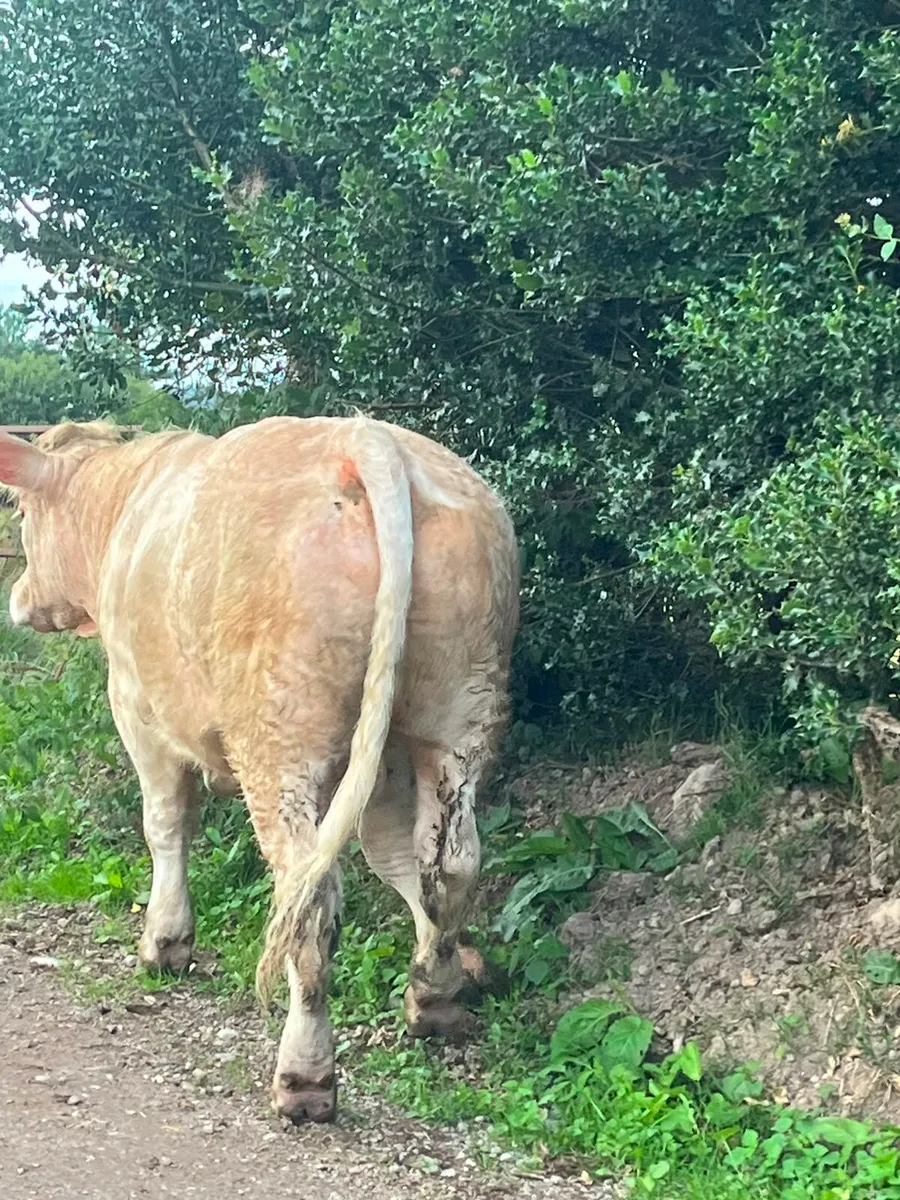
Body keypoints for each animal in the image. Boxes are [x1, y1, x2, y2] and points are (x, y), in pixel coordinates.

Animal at [0, 416, 519, 1124]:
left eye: (20, 510)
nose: (18, 599)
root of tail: (367, 439)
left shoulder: (137, 709)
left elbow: (165, 825)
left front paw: (165, 943)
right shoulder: (386, 764)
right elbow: (397, 859)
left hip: (278, 734)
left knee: (309, 897)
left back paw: (305, 1076)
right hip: (460, 709)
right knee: (451, 863)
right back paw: (434, 1001)